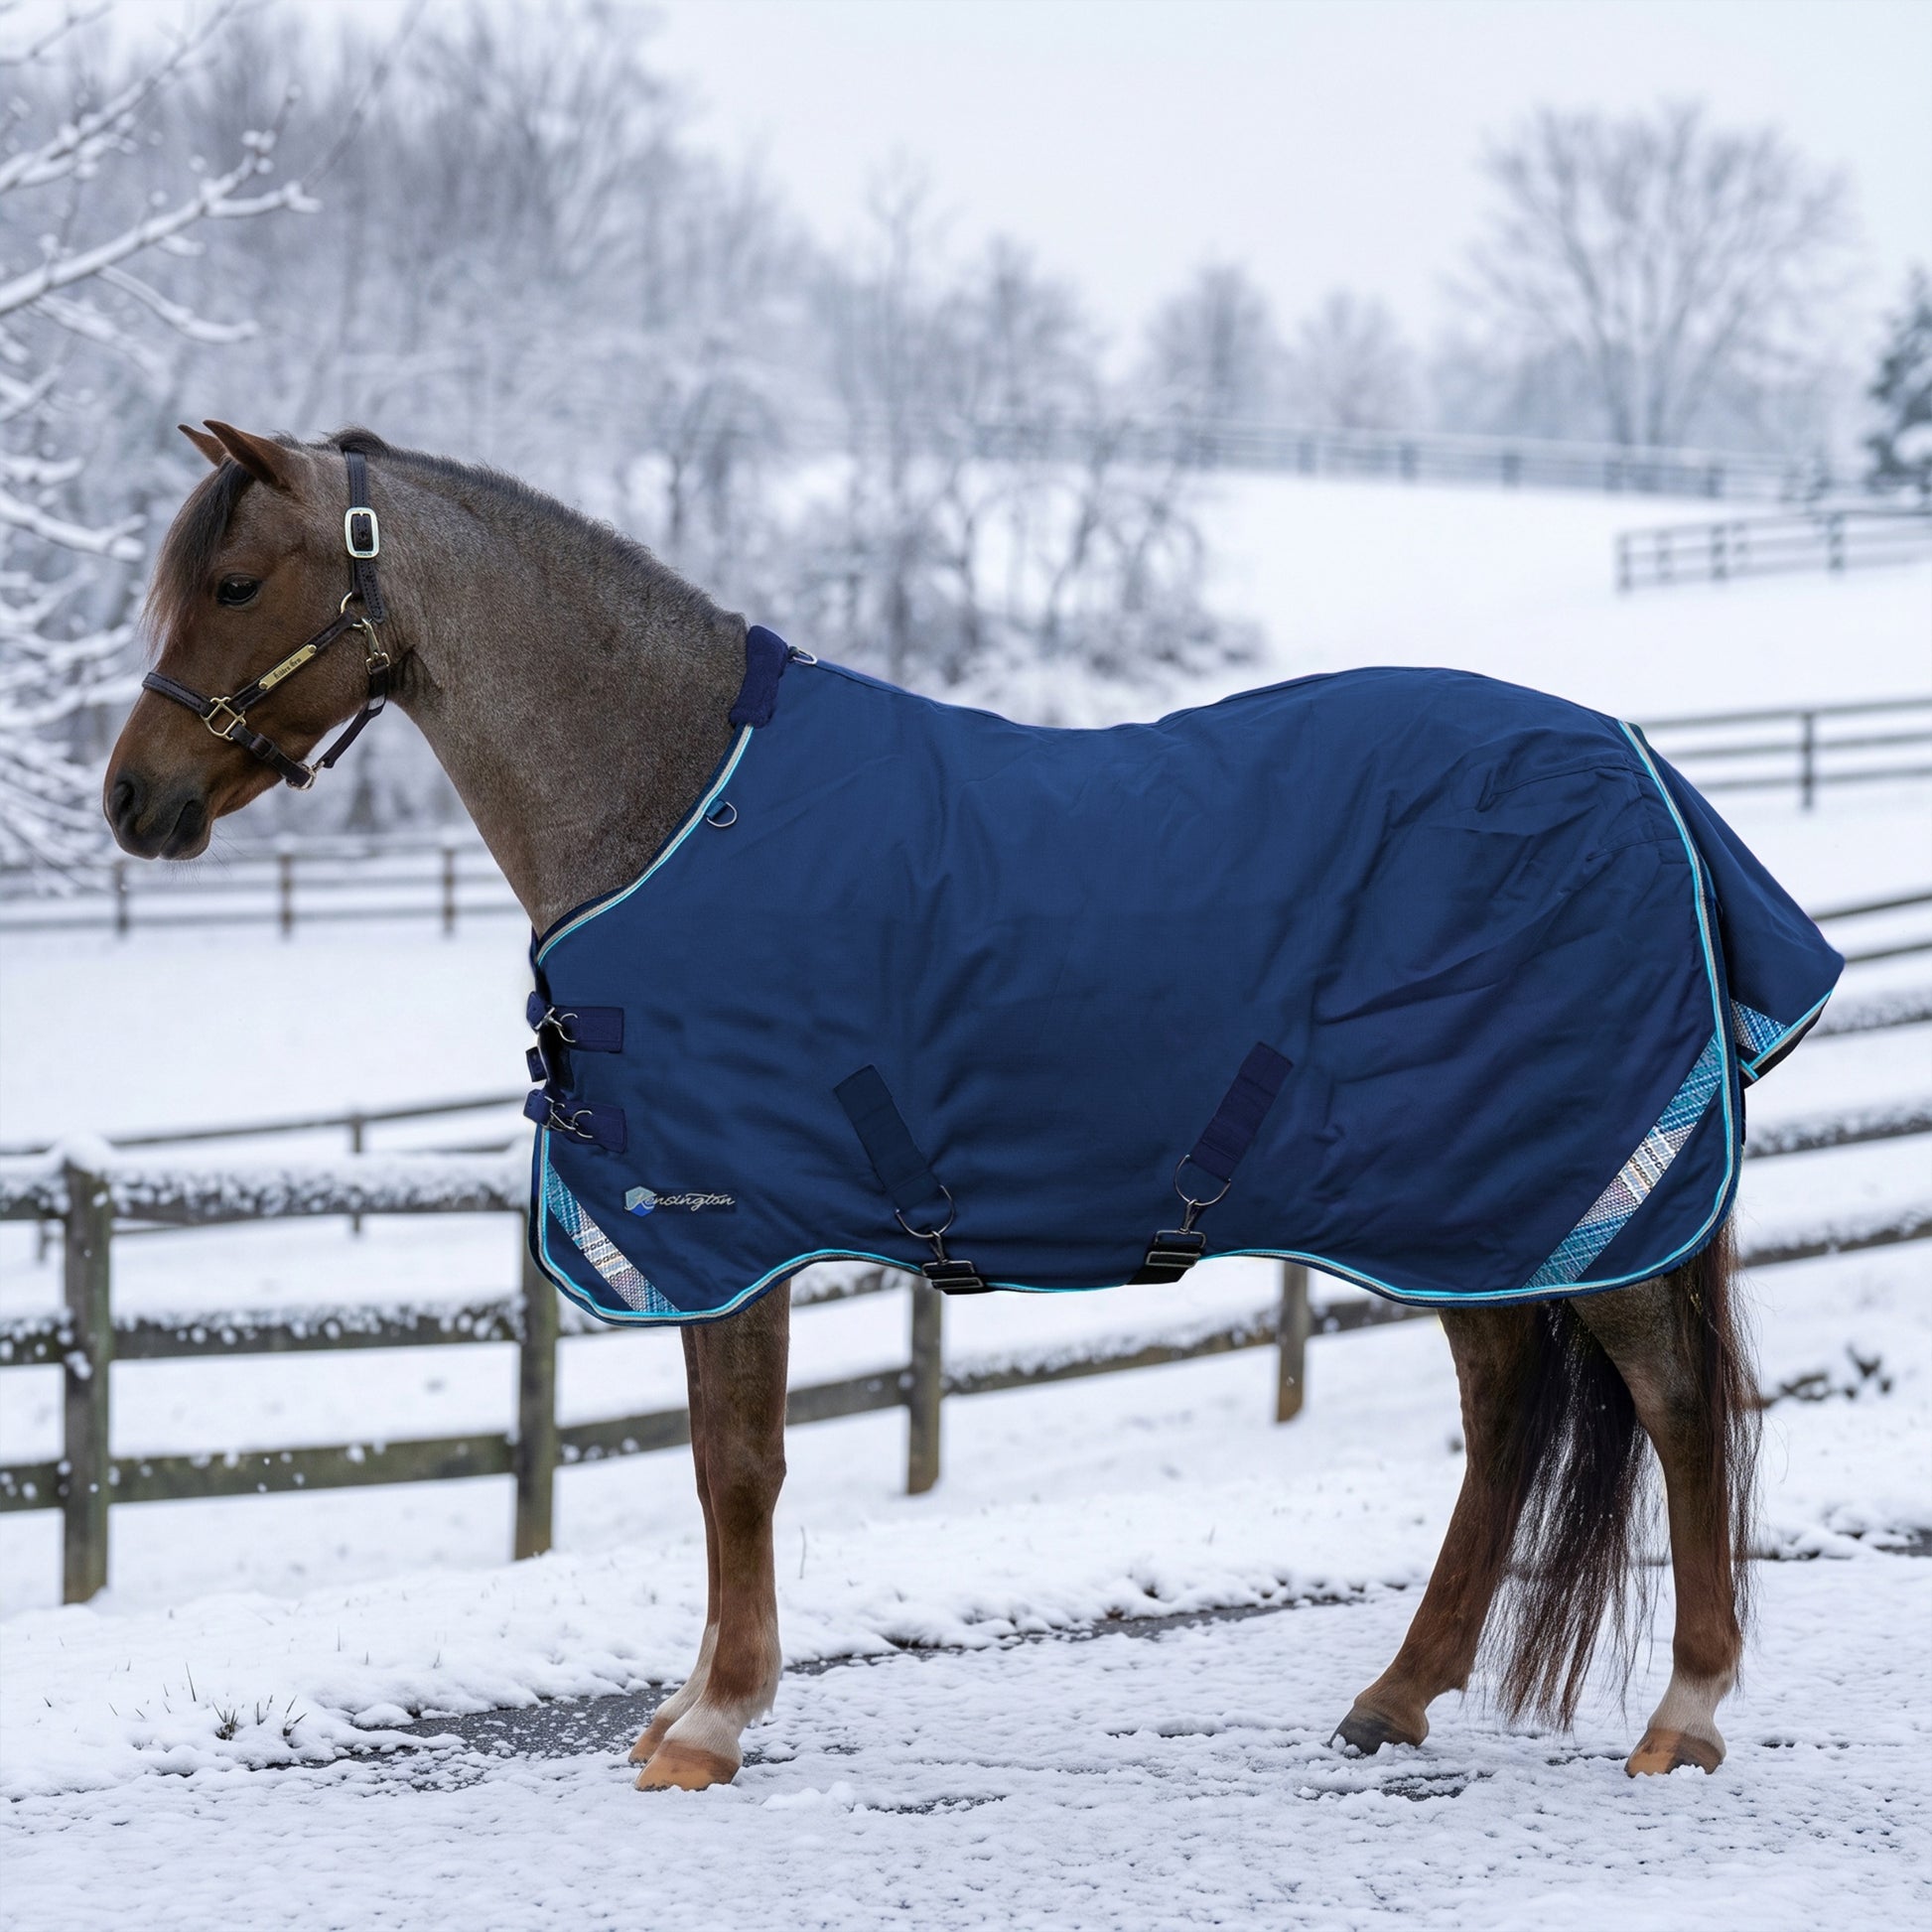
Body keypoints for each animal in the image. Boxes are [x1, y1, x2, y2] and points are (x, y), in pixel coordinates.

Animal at [105, 421, 1765, 1792]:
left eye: (236, 580)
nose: (133, 799)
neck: (672, 798)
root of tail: (1640, 771)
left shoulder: (729, 1222)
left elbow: (737, 1465)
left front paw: (711, 1722)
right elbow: (722, 1461)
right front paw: (688, 1703)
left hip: (1579, 1191)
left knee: (1678, 1404)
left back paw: (1683, 1714)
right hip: (1468, 1206)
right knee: (1503, 1411)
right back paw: (1396, 1694)